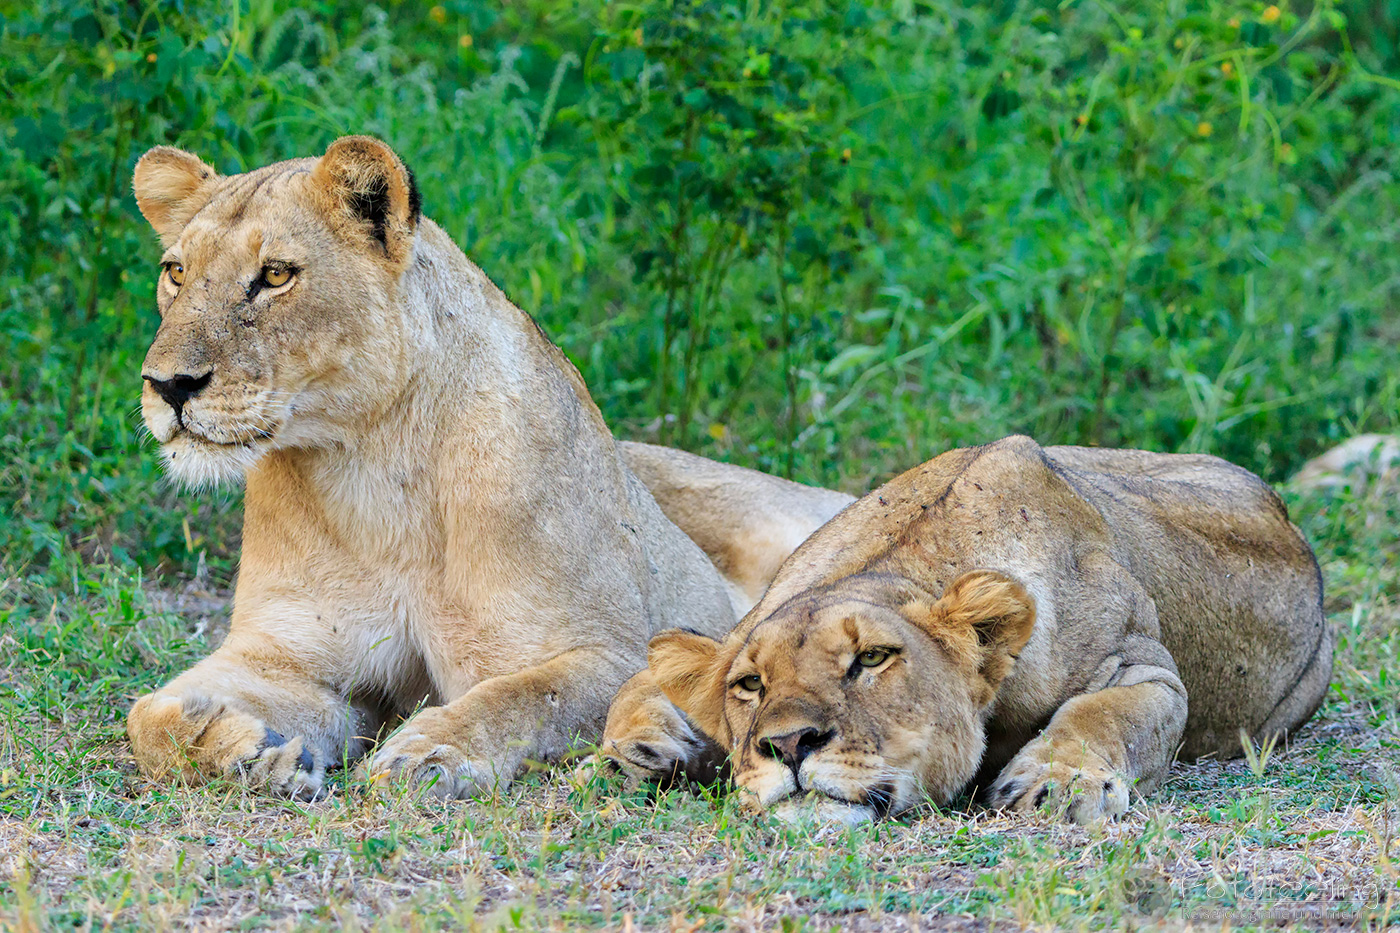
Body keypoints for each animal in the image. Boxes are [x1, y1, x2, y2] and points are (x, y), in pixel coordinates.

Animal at [124, 135, 850, 799]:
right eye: (176, 272)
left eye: (275, 275)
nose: (168, 385)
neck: (368, 467)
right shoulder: (290, 655)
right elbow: (147, 714)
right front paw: (247, 748)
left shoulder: (600, 646)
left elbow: (524, 697)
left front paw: (430, 751)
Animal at [601, 435, 1334, 823]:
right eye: (749, 684)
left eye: (872, 658)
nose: (787, 745)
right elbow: (637, 681)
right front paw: (636, 751)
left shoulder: (1143, 666)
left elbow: (1104, 713)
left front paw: (1055, 783)